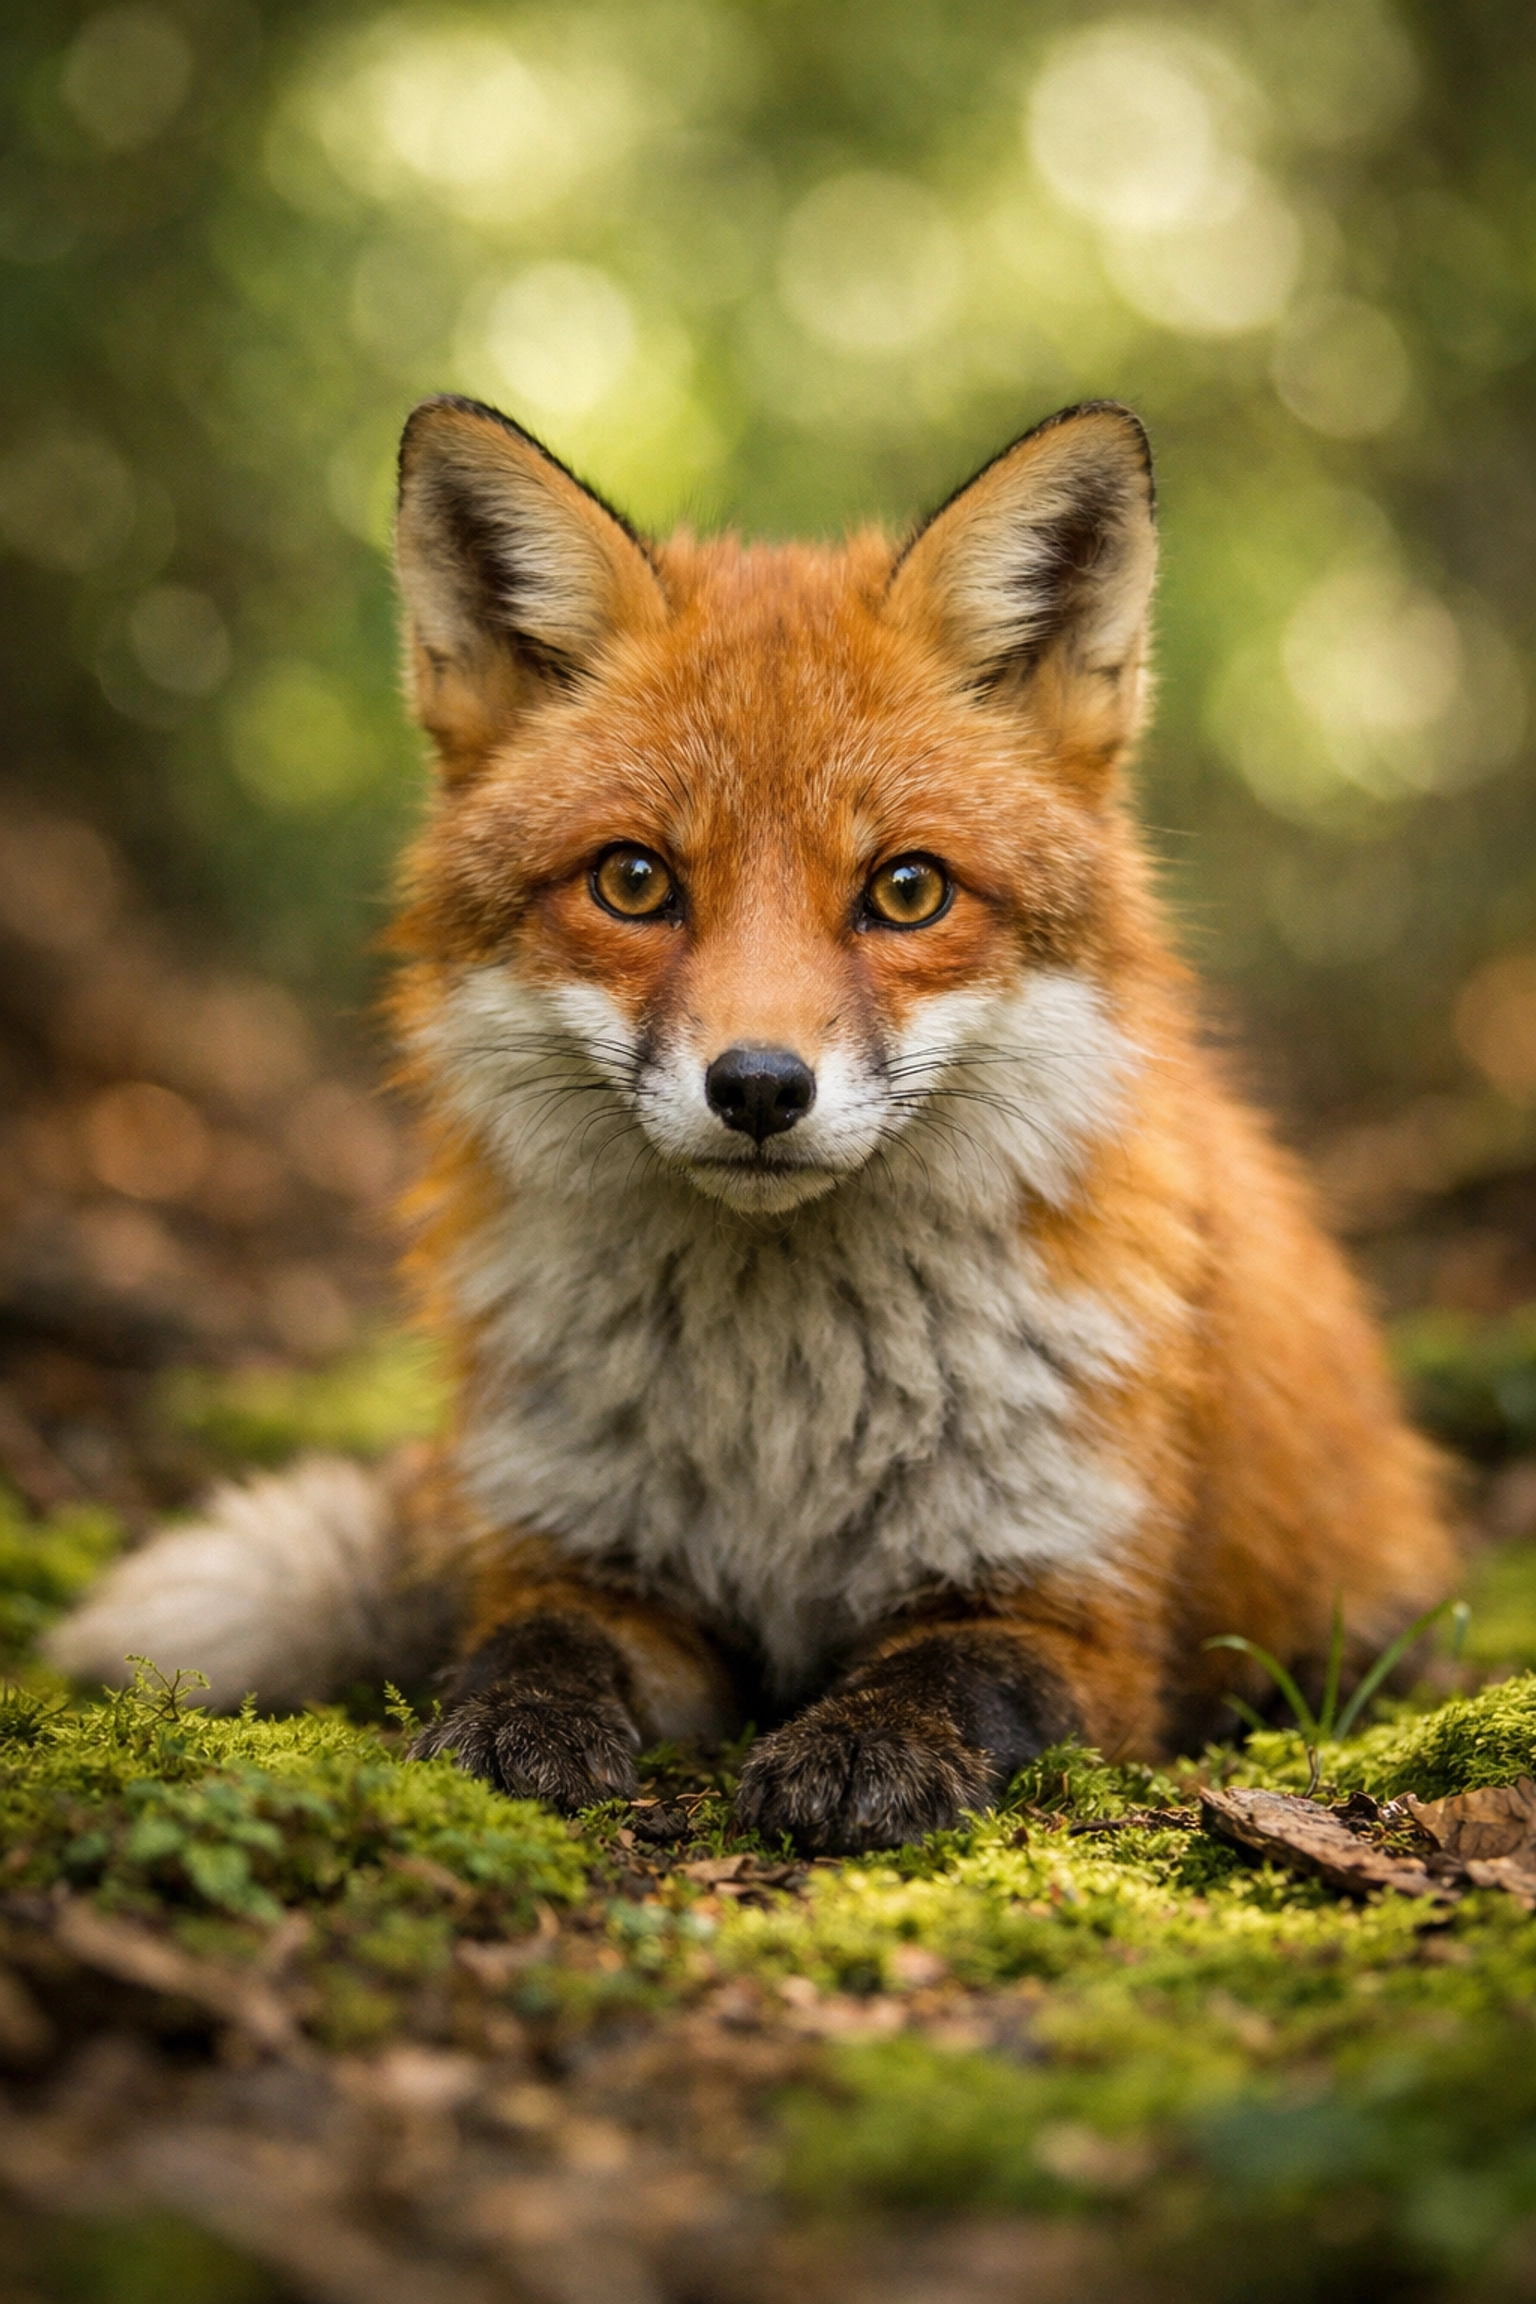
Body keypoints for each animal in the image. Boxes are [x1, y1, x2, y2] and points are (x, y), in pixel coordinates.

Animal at [50, 393, 1455, 1853]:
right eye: (632, 880)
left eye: (908, 890)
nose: (763, 1089)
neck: (783, 1429)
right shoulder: (591, 1556)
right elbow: (529, 1640)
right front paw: (505, 1728)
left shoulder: (1078, 1612)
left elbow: (948, 1674)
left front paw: (861, 1749)